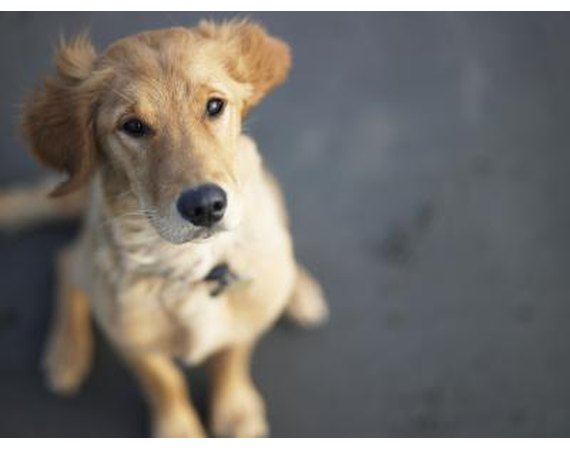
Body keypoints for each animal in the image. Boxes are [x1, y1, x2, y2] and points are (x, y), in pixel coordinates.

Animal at [0, 20, 328, 436]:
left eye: (214, 106)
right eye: (133, 126)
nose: (205, 206)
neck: (192, 266)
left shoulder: (245, 316)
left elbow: (231, 356)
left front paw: (235, 410)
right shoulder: (132, 339)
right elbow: (163, 381)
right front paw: (179, 429)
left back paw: (299, 290)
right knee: (65, 261)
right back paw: (66, 353)